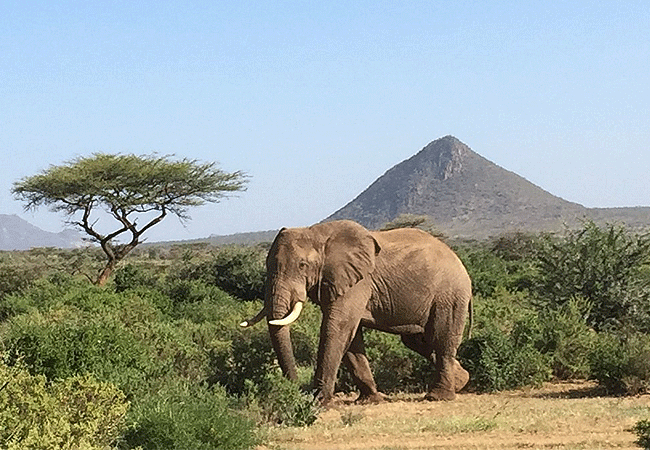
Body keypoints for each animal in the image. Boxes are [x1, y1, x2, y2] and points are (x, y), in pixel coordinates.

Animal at [240, 220, 468, 406]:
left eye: (302, 265)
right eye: (266, 265)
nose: (295, 390)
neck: (317, 233)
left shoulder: (358, 280)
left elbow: (336, 327)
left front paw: (319, 403)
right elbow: (350, 336)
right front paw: (370, 400)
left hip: (450, 295)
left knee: (440, 339)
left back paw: (439, 396)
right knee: (418, 341)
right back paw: (461, 382)